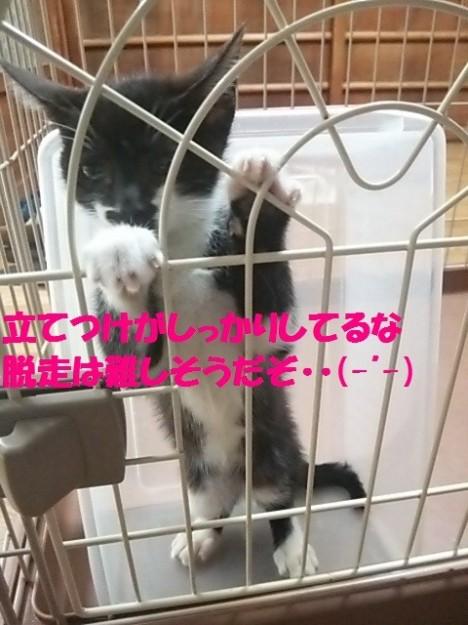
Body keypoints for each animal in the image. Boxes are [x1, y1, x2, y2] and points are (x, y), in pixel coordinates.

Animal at [2, 27, 365, 578]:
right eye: (92, 169)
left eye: (161, 163)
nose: (128, 207)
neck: (177, 255)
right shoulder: (144, 365)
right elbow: (133, 354)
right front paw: (119, 252)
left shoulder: (262, 342)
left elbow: (265, 311)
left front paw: (257, 200)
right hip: (198, 468)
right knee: (216, 502)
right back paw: (200, 534)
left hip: (273, 445)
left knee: (278, 497)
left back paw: (290, 546)